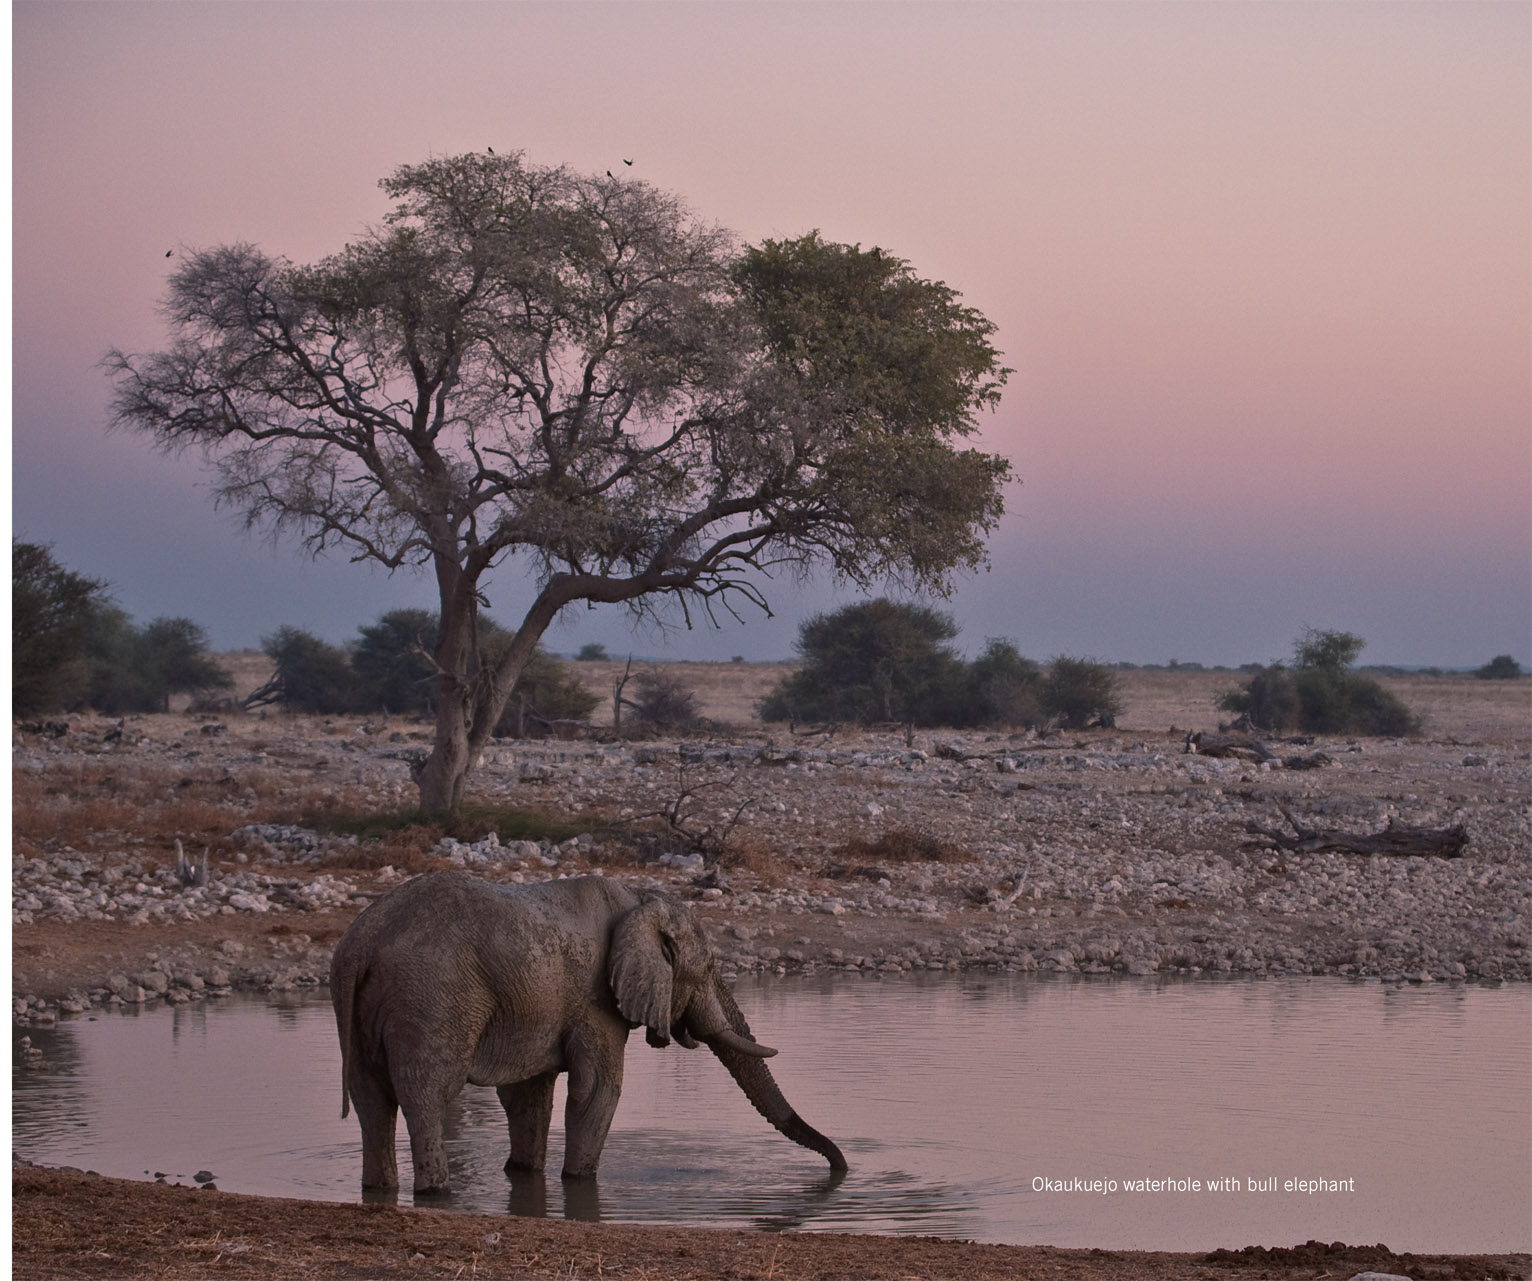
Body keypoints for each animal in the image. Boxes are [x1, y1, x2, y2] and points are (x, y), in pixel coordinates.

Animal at [329, 870, 851, 1189]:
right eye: (705, 971)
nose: (841, 1168)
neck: (641, 900)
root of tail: (363, 943)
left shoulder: (543, 1005)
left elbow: (528, 1096)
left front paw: (525, 1175)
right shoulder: (596, 999)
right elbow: (597, 1089)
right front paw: (578, 1182)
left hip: (353, 1000)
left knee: (369, 1098)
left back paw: (379, 1188)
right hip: (432, 997)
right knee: (428, 1093)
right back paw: (435, 1191)